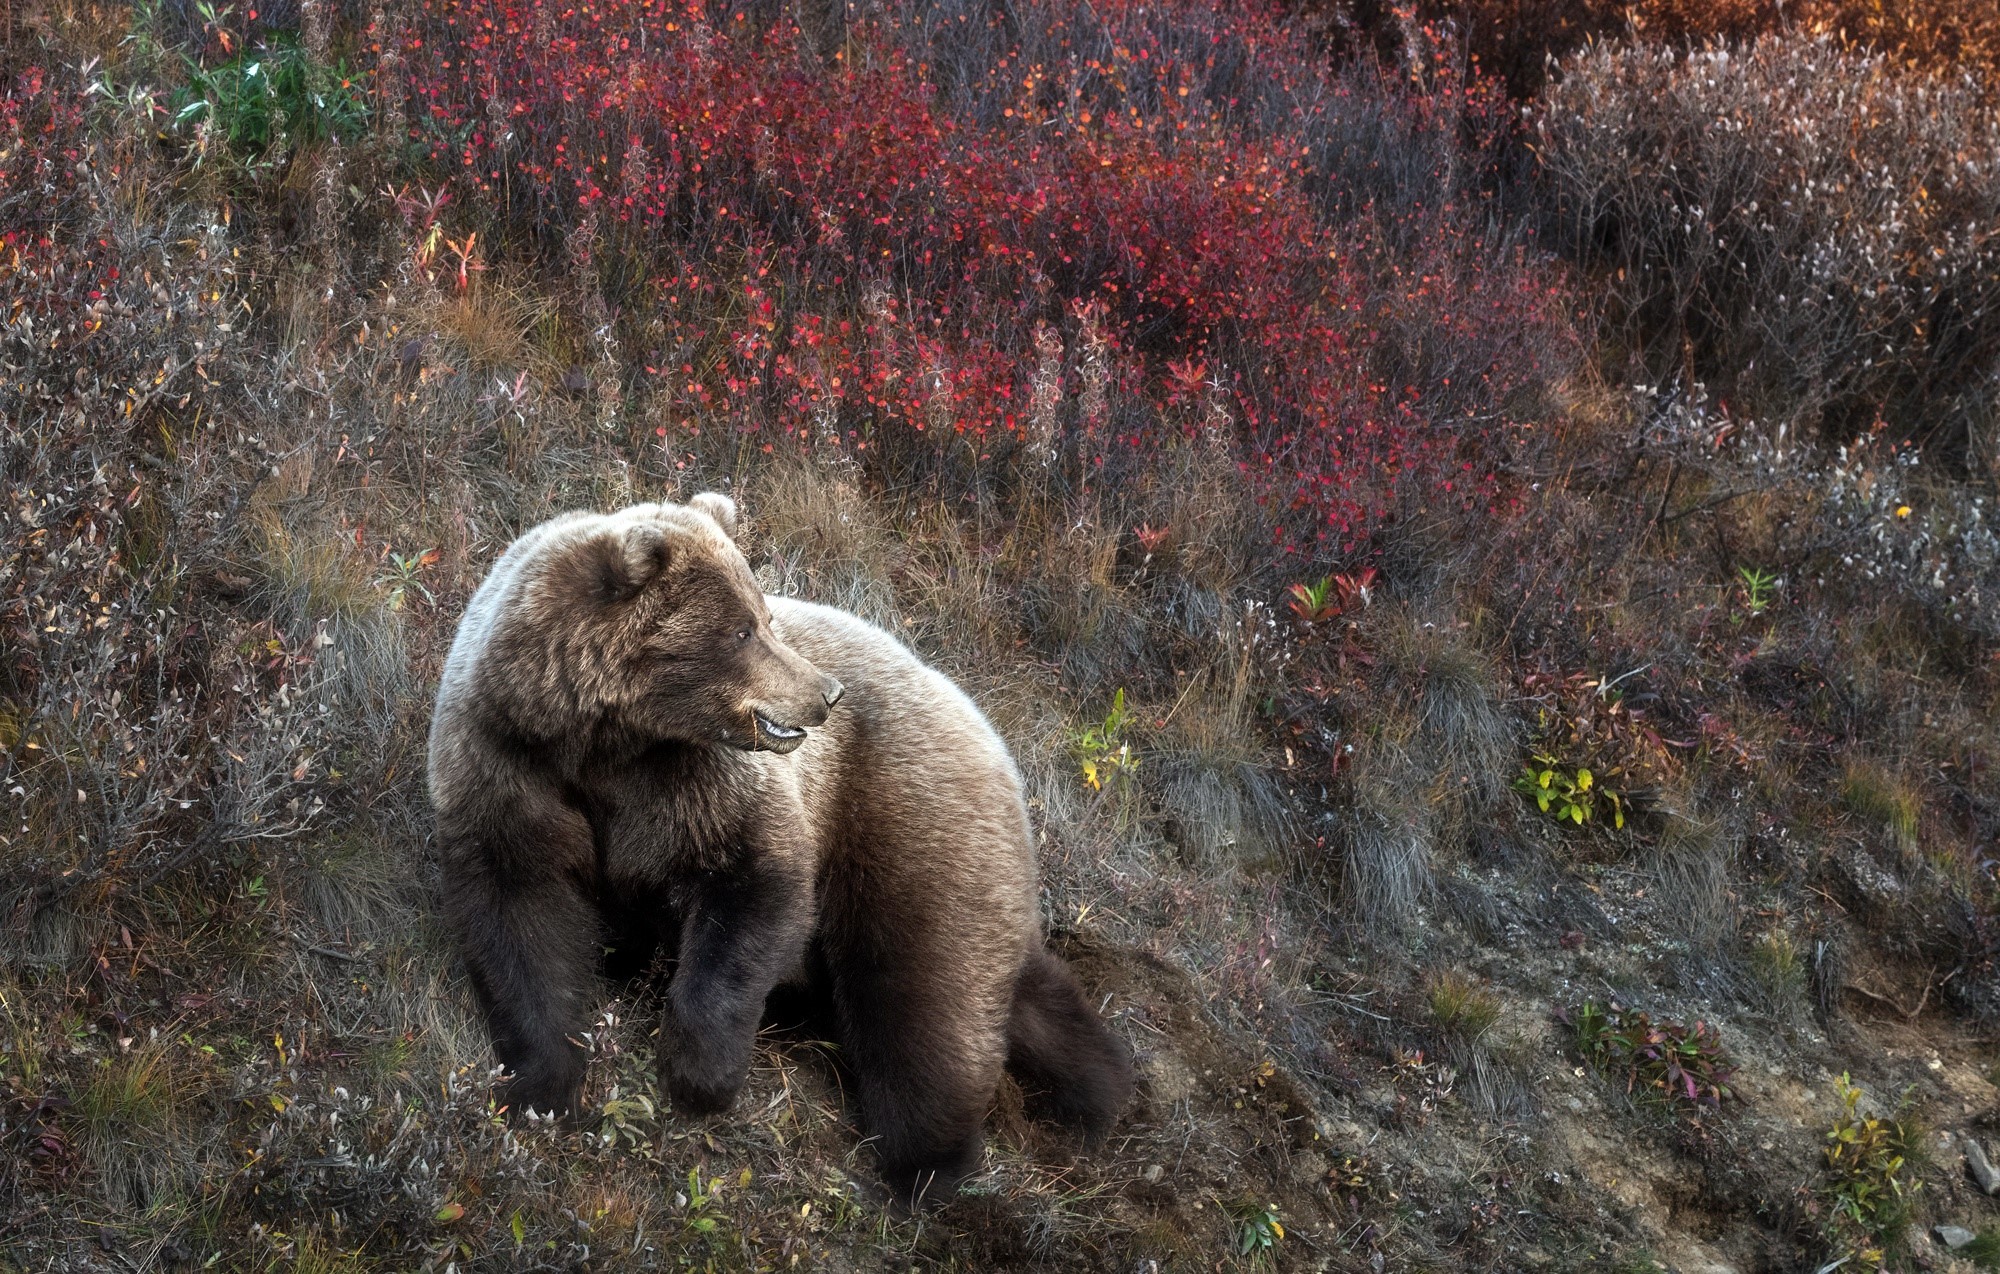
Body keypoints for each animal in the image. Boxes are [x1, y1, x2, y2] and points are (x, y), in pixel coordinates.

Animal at [427, 494, 1132, 1204]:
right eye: (742, 630)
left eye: (763, 616)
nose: (826, 694)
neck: (602, 744)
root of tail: (988, 729)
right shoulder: (508, 768)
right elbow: (520, 915)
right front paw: (543, 1086)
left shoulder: (700, 783)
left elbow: (751, 886)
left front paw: (699, 1074)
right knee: (1022, 987)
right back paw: (1101, 1086)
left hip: (906, 822)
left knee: (921, 994)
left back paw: (928, 1164)